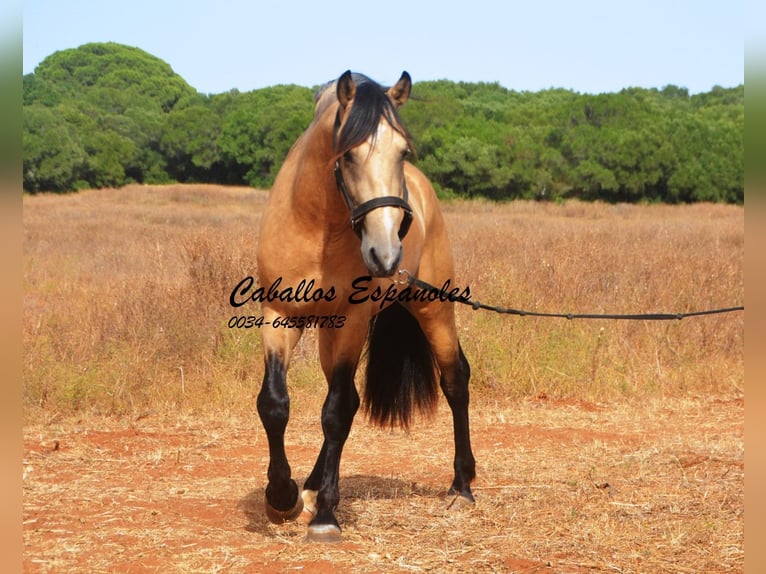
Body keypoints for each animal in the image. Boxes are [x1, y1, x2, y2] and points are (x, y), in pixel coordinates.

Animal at [255, 70, 476, 544]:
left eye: (402, 151)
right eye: (349, 153)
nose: (385, 253)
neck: (317, 226)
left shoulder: (353, 322)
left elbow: (338, 411)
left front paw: (325, 516)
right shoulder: (278, 315)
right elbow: (275, 404)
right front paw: (282, 496)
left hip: (433, 308)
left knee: (455, 380)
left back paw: (462, 486)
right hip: (329, 331)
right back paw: (312, 484)